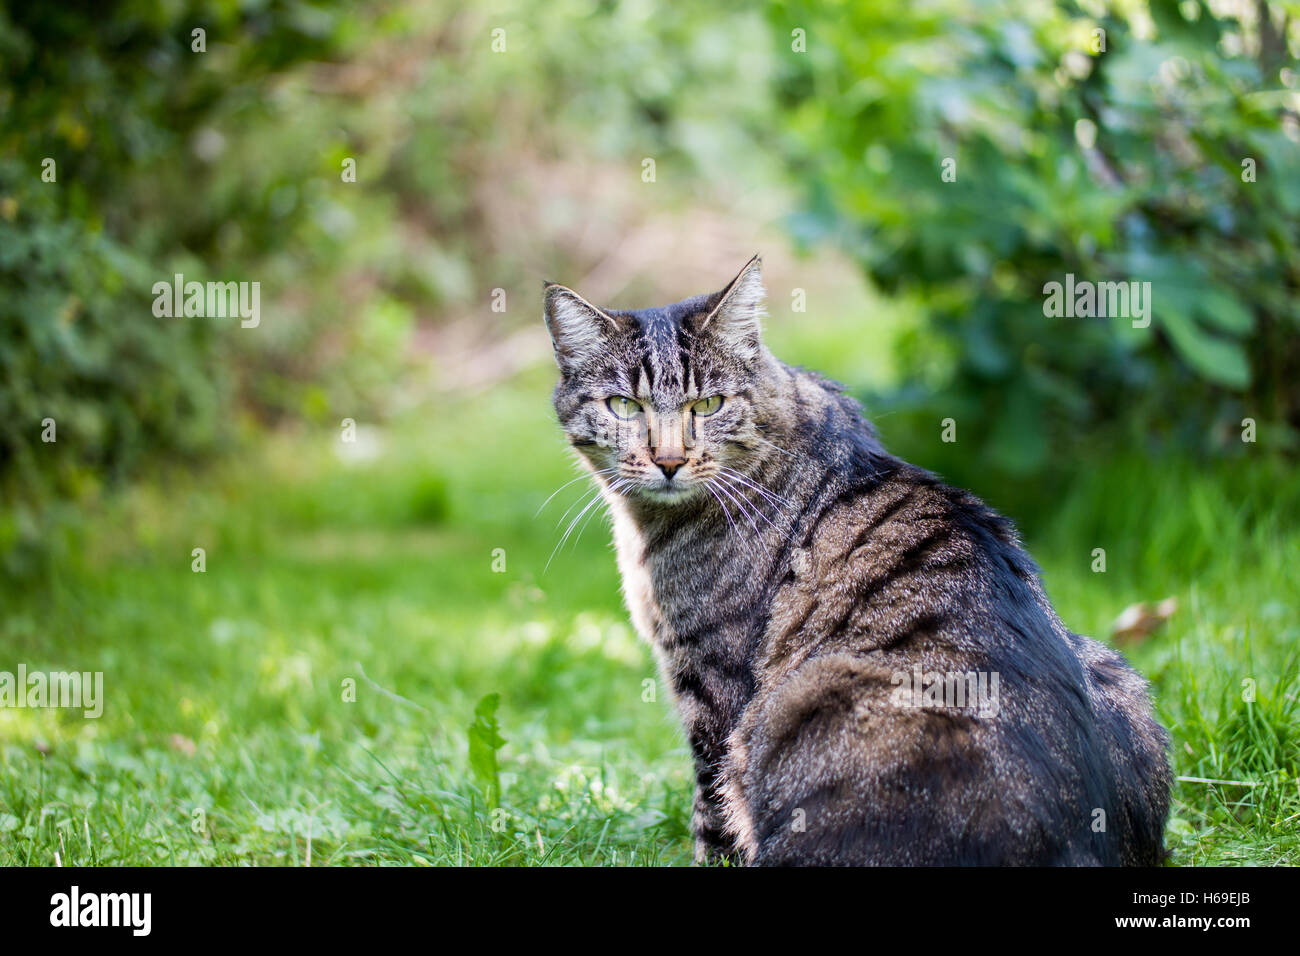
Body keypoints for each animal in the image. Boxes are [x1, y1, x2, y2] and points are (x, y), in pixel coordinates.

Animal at [538, 254, 1170, 868]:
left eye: (709, 404)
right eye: (624, 406)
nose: (667, 460)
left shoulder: (713, 684)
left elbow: (711, 816)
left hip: (808, 694)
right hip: (1112, 668)